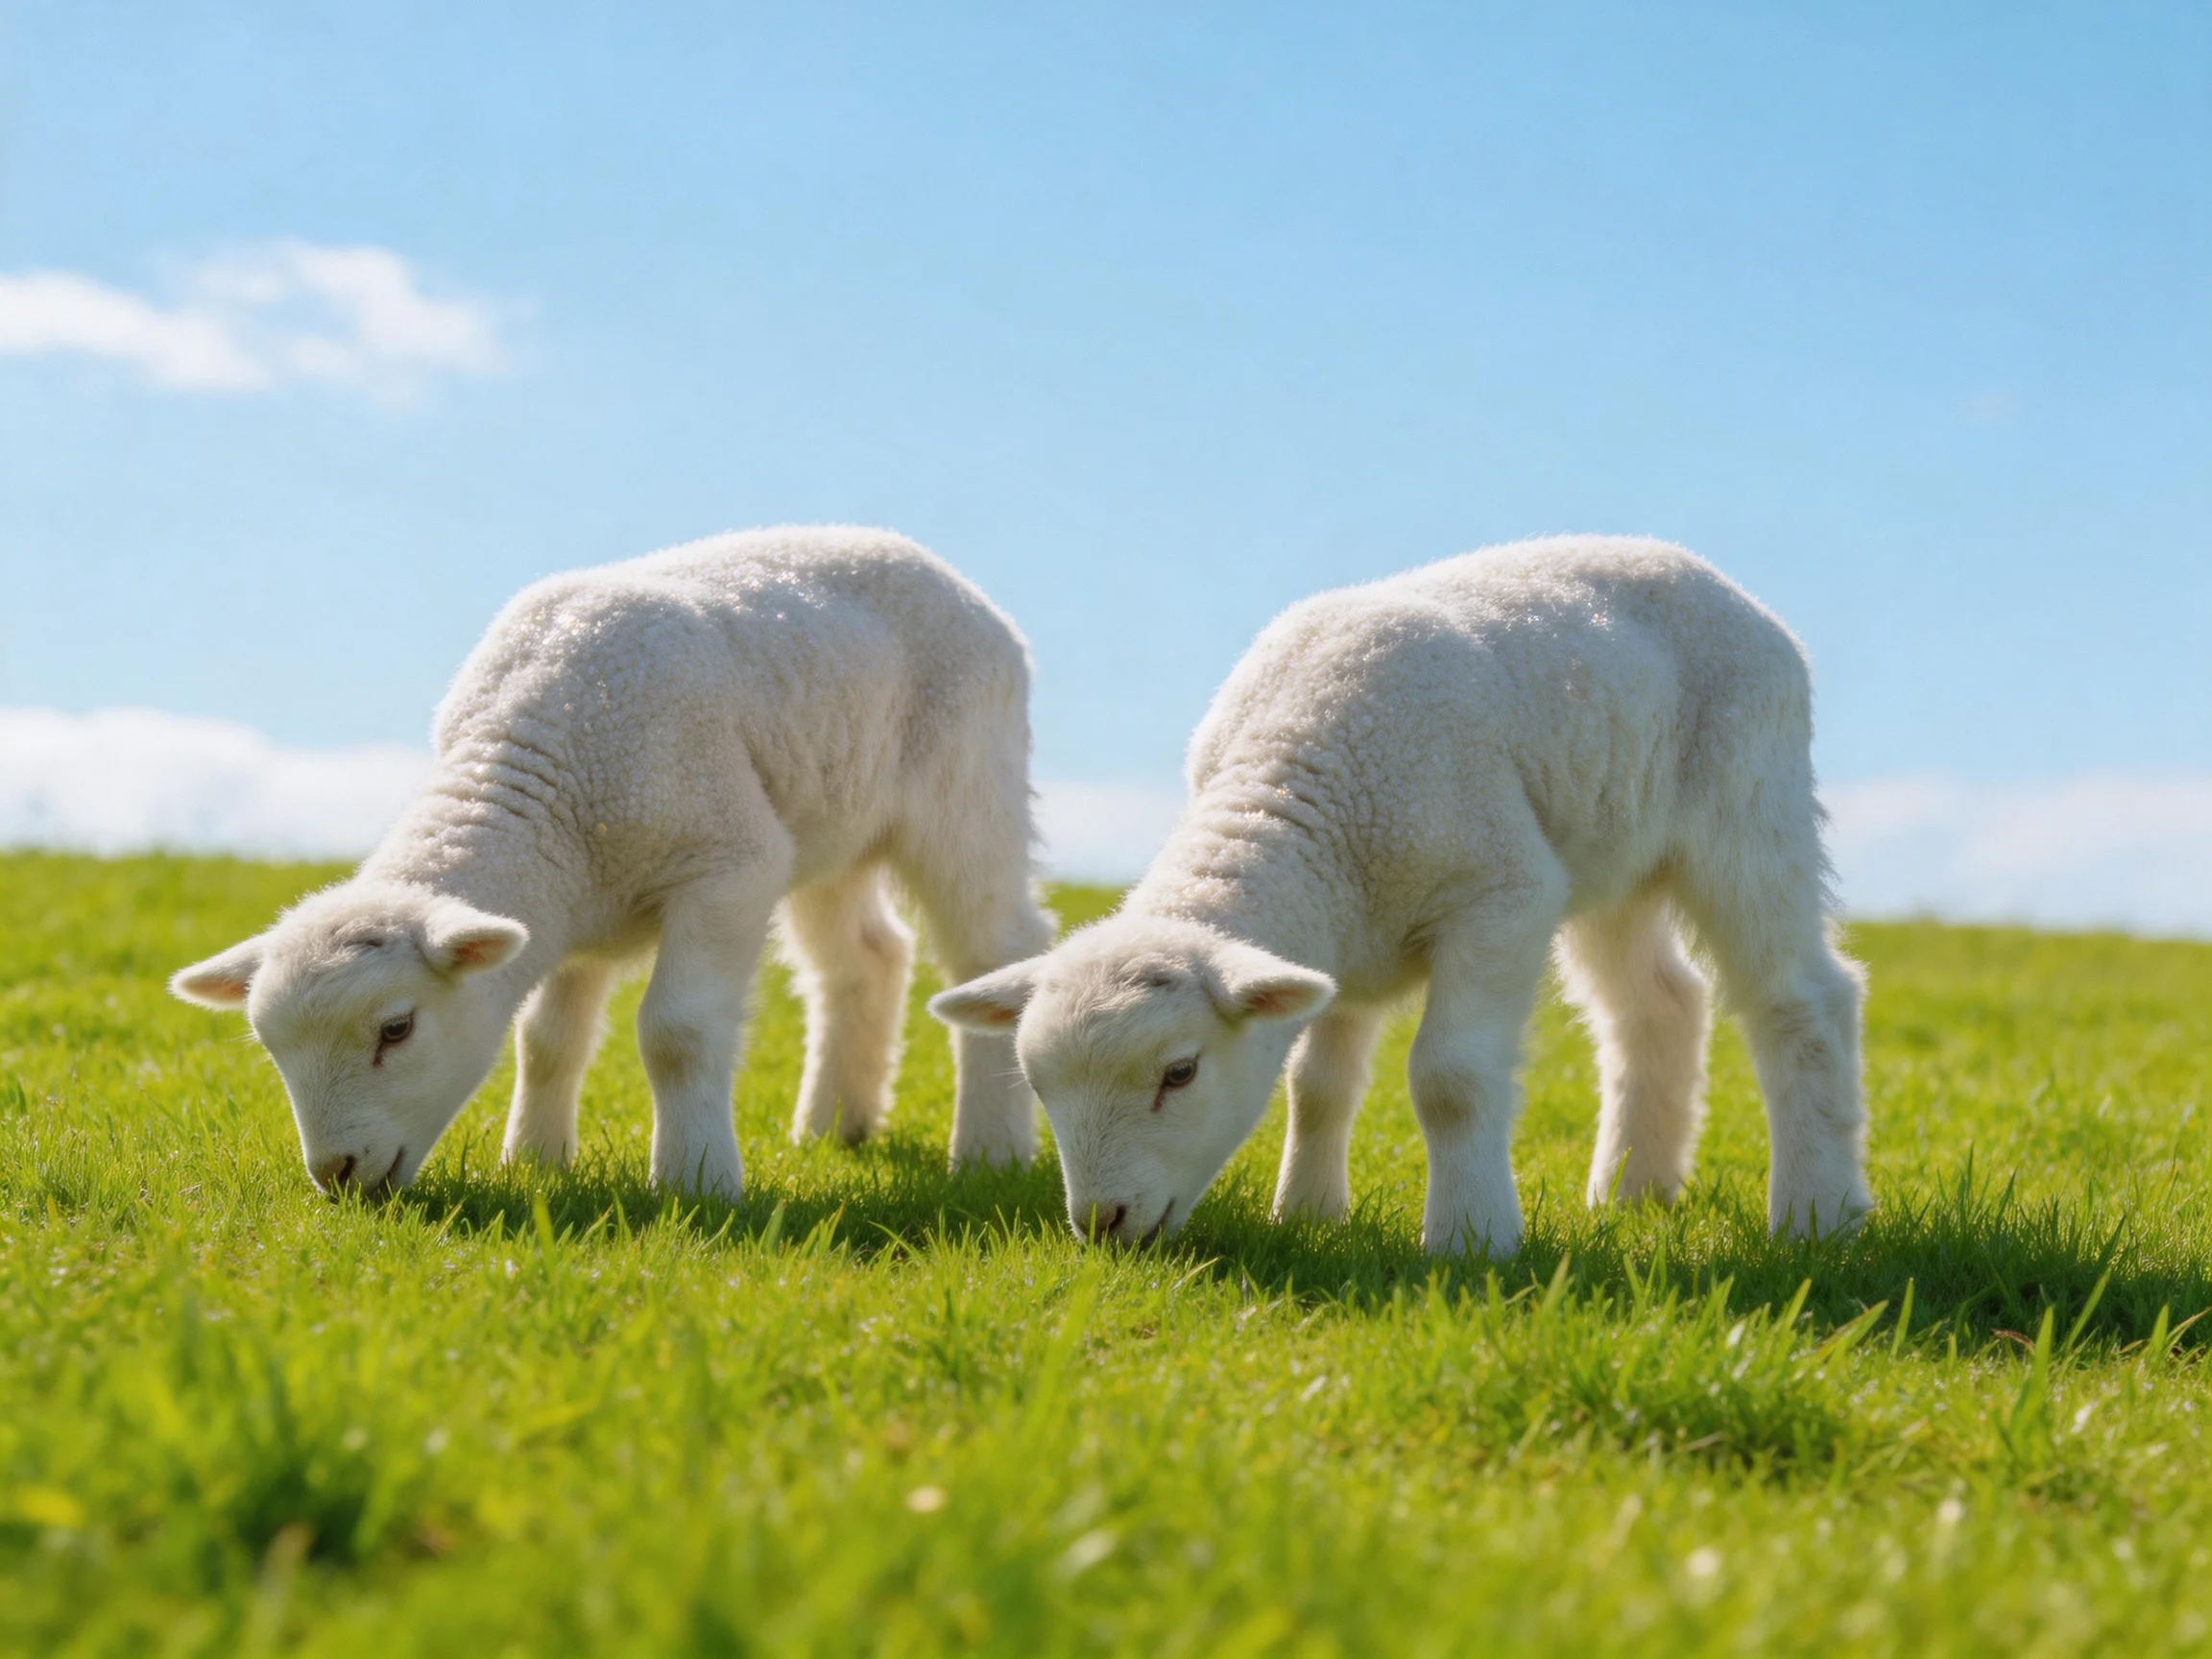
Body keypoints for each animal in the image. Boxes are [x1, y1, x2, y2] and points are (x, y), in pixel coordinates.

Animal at [171, 526, 1054, 1200]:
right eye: (271, 1047)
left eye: (397, 1028)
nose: (337, 1175)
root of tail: (935, 565)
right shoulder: (570, 911)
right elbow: (547, 1041)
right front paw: (534, 1161)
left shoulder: (727, 863)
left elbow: (678, 1032)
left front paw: (697, 1183)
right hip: (830, 822)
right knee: (864, 958)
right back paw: (835, 1128)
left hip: (967, 783)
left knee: (995, 946)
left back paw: (988, 1151)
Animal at [932, 535, 1869, 1256]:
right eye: (1036, 1084)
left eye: (1180, 1072)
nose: (1102, 1223)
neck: (1294, 791)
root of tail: (1713, 577)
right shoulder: (1337, 936)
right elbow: (1317, 1083)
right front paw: (1307, 1213)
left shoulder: (1501, 895)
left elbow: (1450, 1080)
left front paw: (1470, 1240)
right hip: (1614, 858)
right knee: (1658, 1005)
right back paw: (1635, 1190)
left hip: (1748, 802)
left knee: (1802, 1001)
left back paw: (1817, 1215)